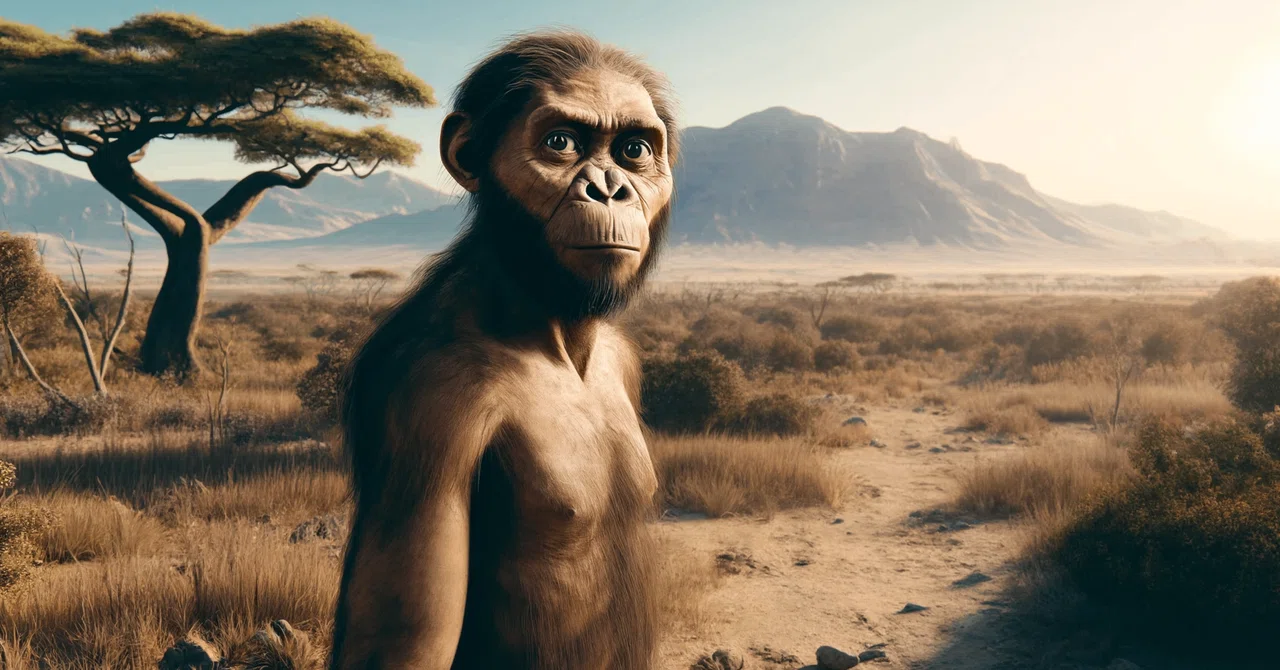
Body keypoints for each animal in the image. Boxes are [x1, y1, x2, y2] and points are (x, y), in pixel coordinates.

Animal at [328, 31, 679, 670]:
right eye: (560, 142)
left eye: (634, 150)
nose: (609, 188)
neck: (551, 333)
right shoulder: (431, 397)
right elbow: (405, 645)